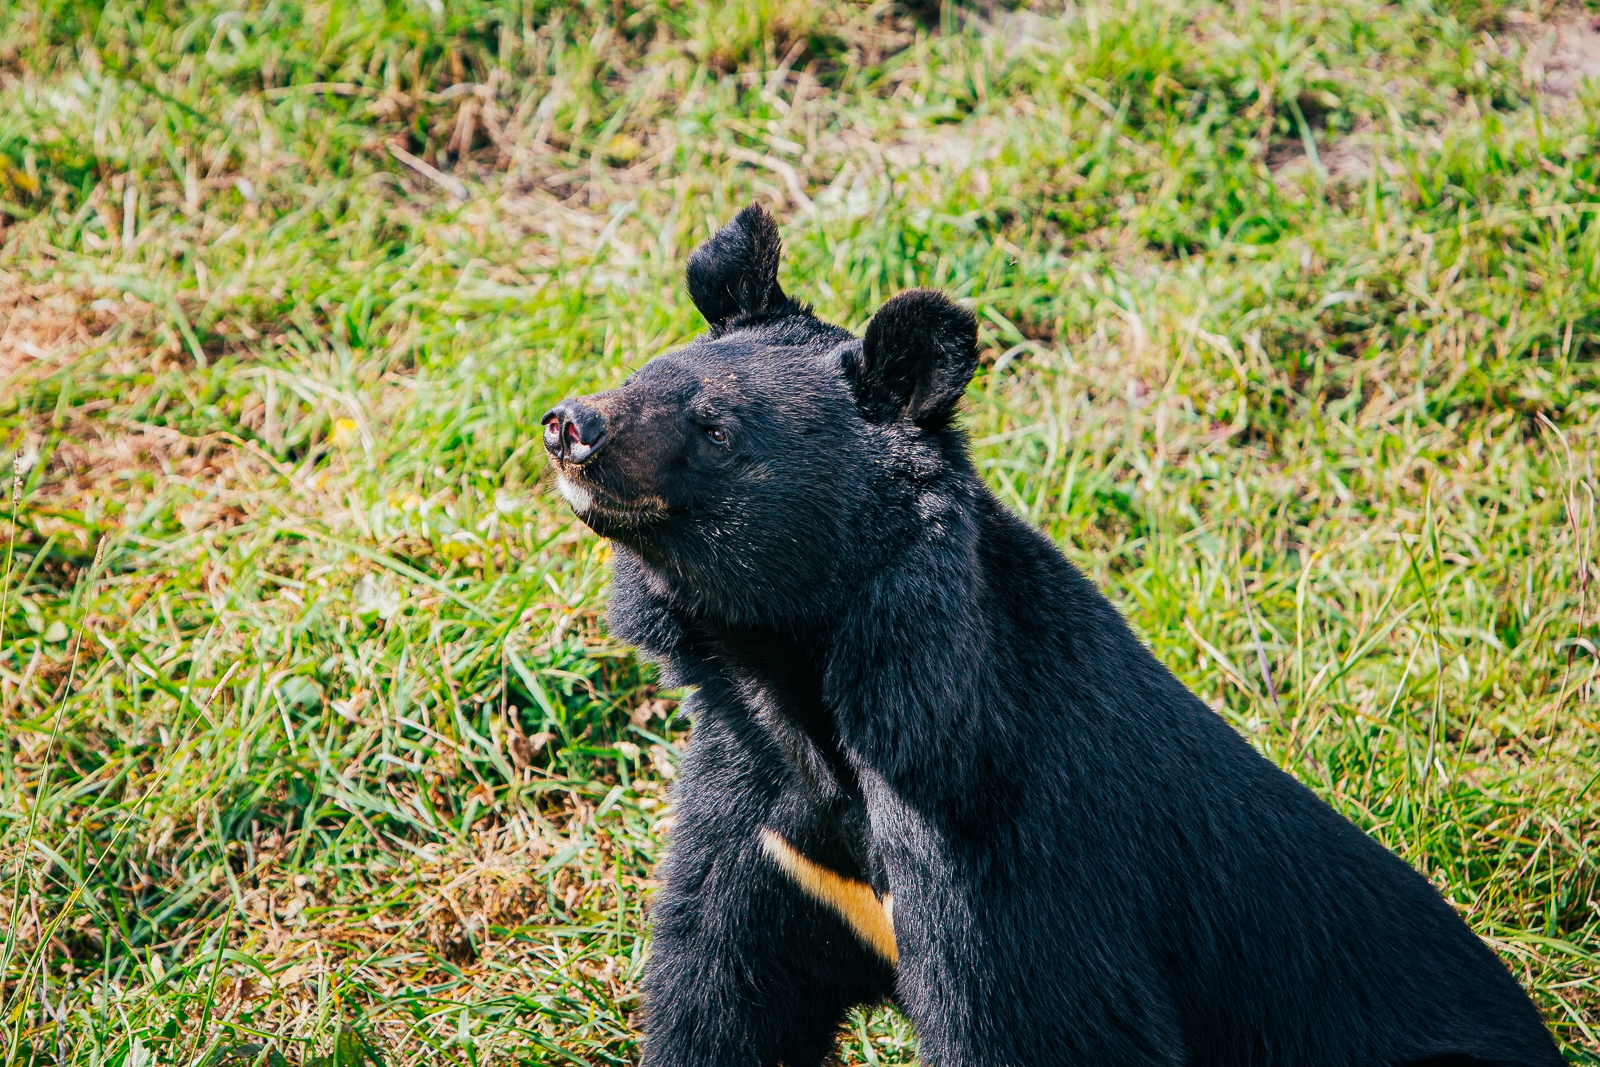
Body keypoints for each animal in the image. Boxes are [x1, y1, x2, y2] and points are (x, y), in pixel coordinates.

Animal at [540, 205, 1563, 1067]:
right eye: (642, 374)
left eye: (716, 428)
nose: (570, 424)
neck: (802, 689)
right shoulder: (759, 821)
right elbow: (716, 986)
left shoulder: (1014, 853)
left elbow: (1039, 1021)